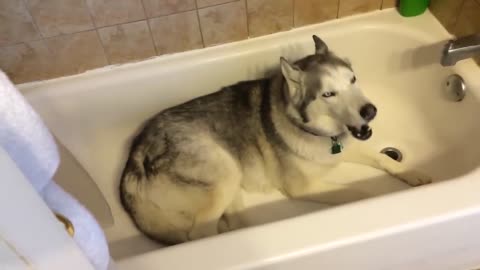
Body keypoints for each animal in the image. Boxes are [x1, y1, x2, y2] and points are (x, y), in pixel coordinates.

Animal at [119, 35, 432, 245]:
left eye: (353, 79)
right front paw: (373, 198)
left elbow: (381, 157)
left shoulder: (345, 146)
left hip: (232, 188)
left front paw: (412, 173)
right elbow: (357, 192)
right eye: (328, 94)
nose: (370, 111)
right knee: (200, 233)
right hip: (224, 173)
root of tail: (135, 159)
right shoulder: (302, 187)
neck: (313, 130)